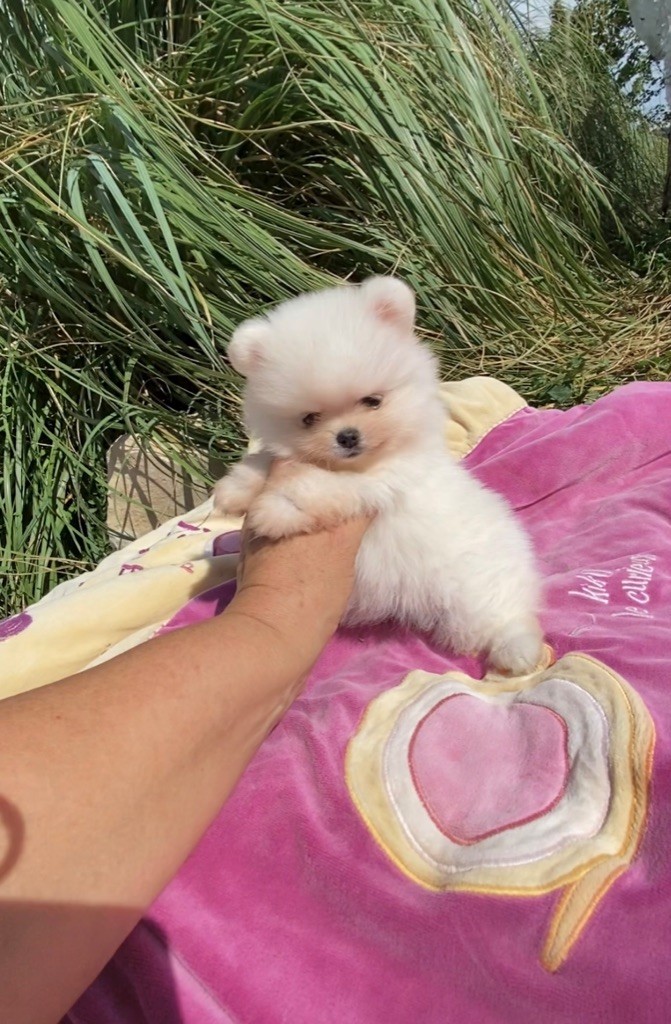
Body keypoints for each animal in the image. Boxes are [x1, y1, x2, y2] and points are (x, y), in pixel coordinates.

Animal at [213, 276, 543, 675]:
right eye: (309, 418)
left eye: (373, 401)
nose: (347, 436)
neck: (362, 461)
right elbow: (264, 461)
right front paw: (235, 490)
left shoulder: (384, 478)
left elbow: (316, 485)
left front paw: (277, 511)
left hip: (477, 590)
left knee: (503, 616)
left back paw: (518, 651)